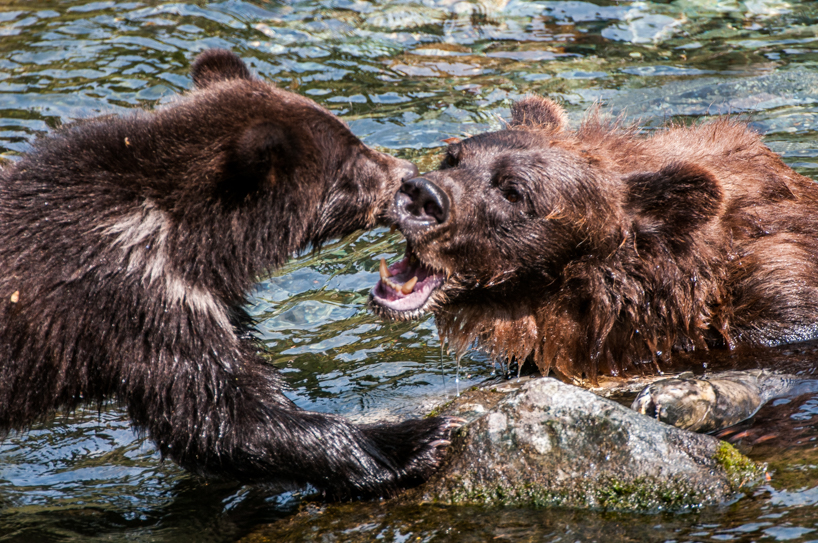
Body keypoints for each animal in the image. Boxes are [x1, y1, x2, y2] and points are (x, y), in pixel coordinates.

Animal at [0, 48, 461, 499]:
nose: (406, 175)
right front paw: (417, 443)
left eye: (352, 135)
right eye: (351, 165)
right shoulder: (139, 303)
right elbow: (220, 416)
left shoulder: (206, 298)